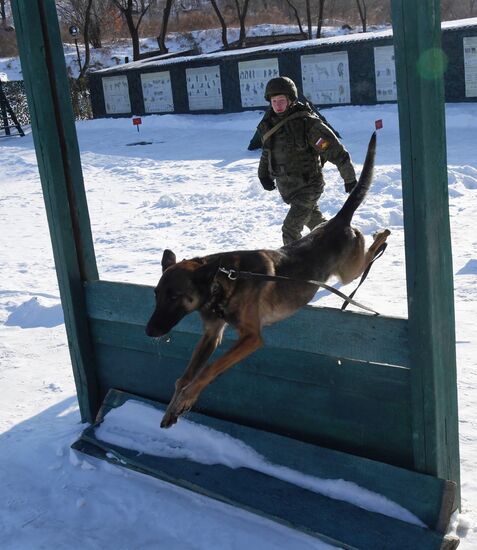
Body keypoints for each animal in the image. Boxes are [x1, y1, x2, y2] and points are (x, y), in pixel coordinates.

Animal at [146, 134, 390, 432]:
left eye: (174, 296)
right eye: (156, 294)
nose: (149, 331)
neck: (221, 283)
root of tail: (337, 221)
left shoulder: (251, 338)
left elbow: (209, 370)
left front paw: (185, 400)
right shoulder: (211, 335)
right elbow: (184, 377)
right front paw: (173, 408)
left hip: (349, 270)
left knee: (367, 252)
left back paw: (383, 236)